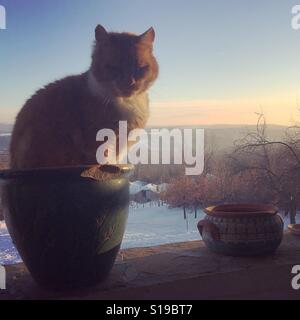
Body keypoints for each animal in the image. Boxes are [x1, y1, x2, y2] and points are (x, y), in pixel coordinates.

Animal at [10, 24, 158, 170]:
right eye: (113, 67)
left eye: (139, 67)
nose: (129, 82)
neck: (127, 103)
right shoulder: (97, 141)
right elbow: (101, 159)